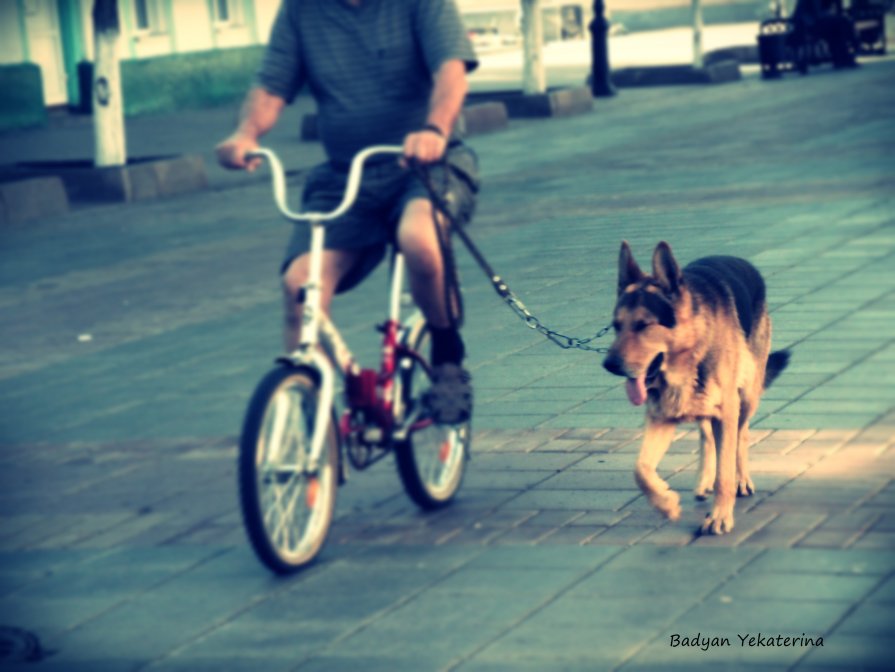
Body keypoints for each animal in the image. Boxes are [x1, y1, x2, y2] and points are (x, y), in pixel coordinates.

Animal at [600, 242, 792, 536]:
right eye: (616, 326)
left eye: (644, 325)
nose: (609, 365)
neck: (687, 357)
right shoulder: (662, 417)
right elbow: (640, 469)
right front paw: (666, 503)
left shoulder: (727, 412)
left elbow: (725, 473)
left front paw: (720, 516)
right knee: (707, 435)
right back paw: (703, 480)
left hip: (746, 399)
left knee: (741, 435)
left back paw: (741, 479)